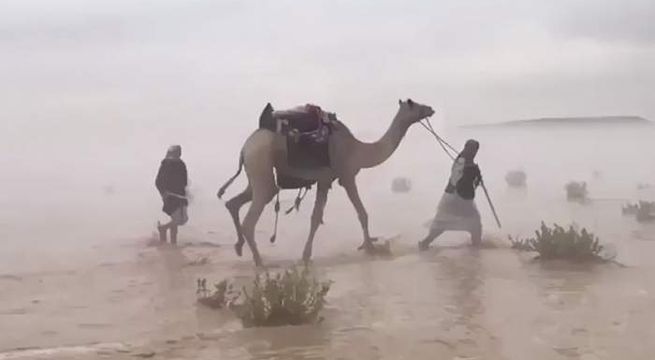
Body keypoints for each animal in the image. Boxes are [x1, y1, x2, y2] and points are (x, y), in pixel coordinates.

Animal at [219, 97, 436, 266]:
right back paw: (259, 261)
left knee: (235, 202)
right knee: (252, 214)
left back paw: (239, 247)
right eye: (415, 104)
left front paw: (306, 255)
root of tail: (245, 147)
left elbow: (317, 218)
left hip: (256, 169)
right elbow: (360, 213)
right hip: (260, 160)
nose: (431, 109)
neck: (358, 149)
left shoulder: (325, 180)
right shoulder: (345, 175)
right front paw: (370, 248)